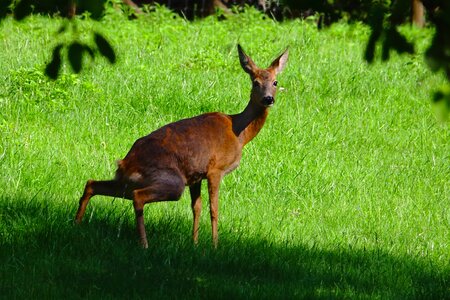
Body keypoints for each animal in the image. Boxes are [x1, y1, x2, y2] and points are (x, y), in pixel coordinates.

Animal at [74, 43, 288, 247]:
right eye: (255, 82)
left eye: (275, 82)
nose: (268, 99)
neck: (239, 132)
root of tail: (125, 163)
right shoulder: (215, 169)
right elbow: (214, 209)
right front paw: (215, 245)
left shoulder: (195, 175)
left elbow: (196, 208)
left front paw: (194, 243)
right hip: (172, 181)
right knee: (138, 196)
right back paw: (144, 244)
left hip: (128, 181)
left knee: (92, 183)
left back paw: (76, 223)